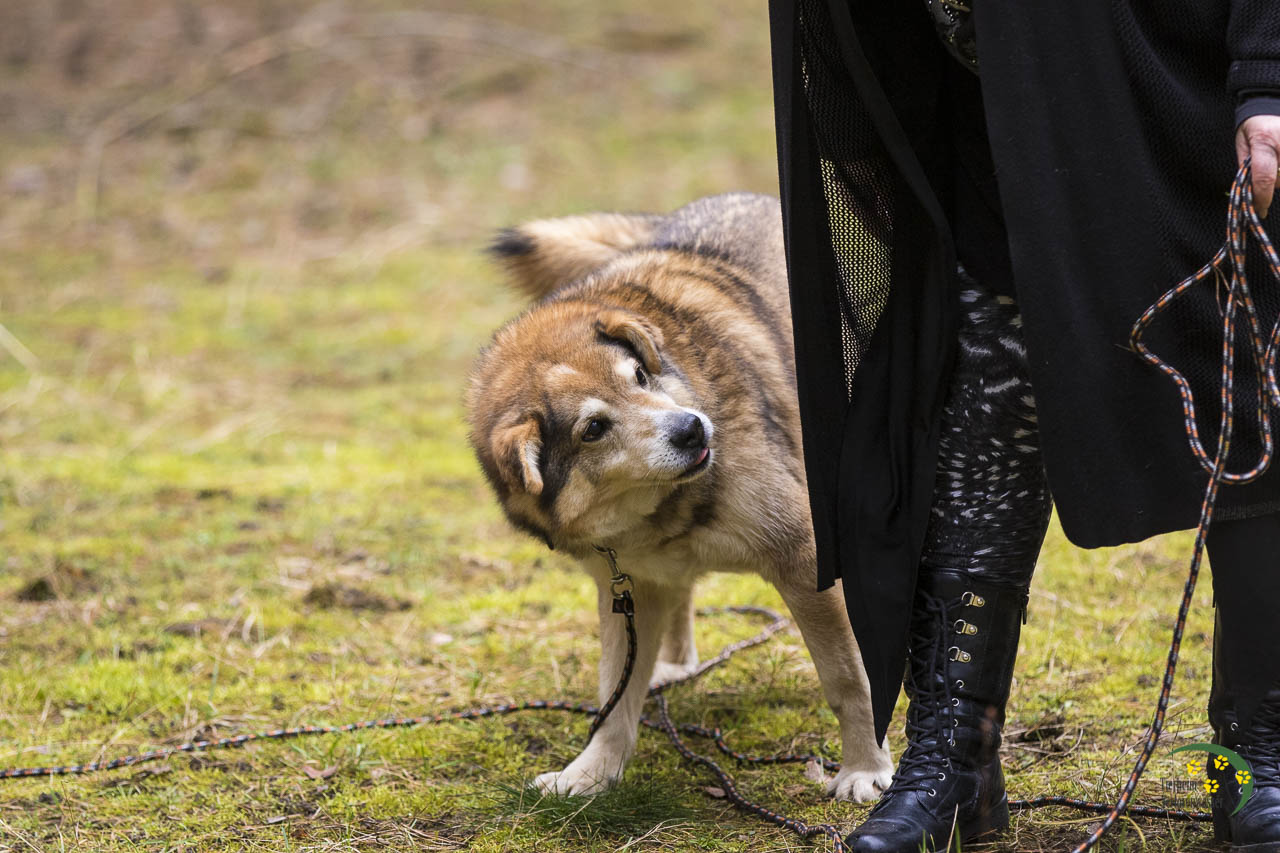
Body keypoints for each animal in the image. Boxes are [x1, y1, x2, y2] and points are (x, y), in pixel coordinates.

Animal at [465, 193, 894, 802]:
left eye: (640, 377)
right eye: (593, 429)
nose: (693, 429)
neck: (662, 516)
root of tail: (748, 198)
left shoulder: (802, 556)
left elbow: (846, 679)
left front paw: (864, 768)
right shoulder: (627, 590)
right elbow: (613, 696)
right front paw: (591, 773)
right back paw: (674, 667)